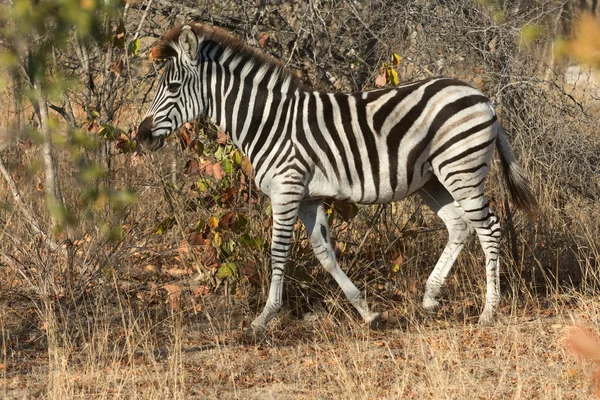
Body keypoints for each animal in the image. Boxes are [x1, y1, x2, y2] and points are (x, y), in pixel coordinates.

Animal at [137, 23, 540, 332]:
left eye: (172, 88)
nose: (140, 136)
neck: (267, 122)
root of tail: (483, 97)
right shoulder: (309, 197)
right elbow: (325, 254)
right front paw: (368, 312)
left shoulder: (287, 188)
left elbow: (278, 251)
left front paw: (263, 318)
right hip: (432, 179)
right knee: (459, 225)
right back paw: (429, 298)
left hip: (461, 170)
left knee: (489, 228)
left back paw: (489, 311)